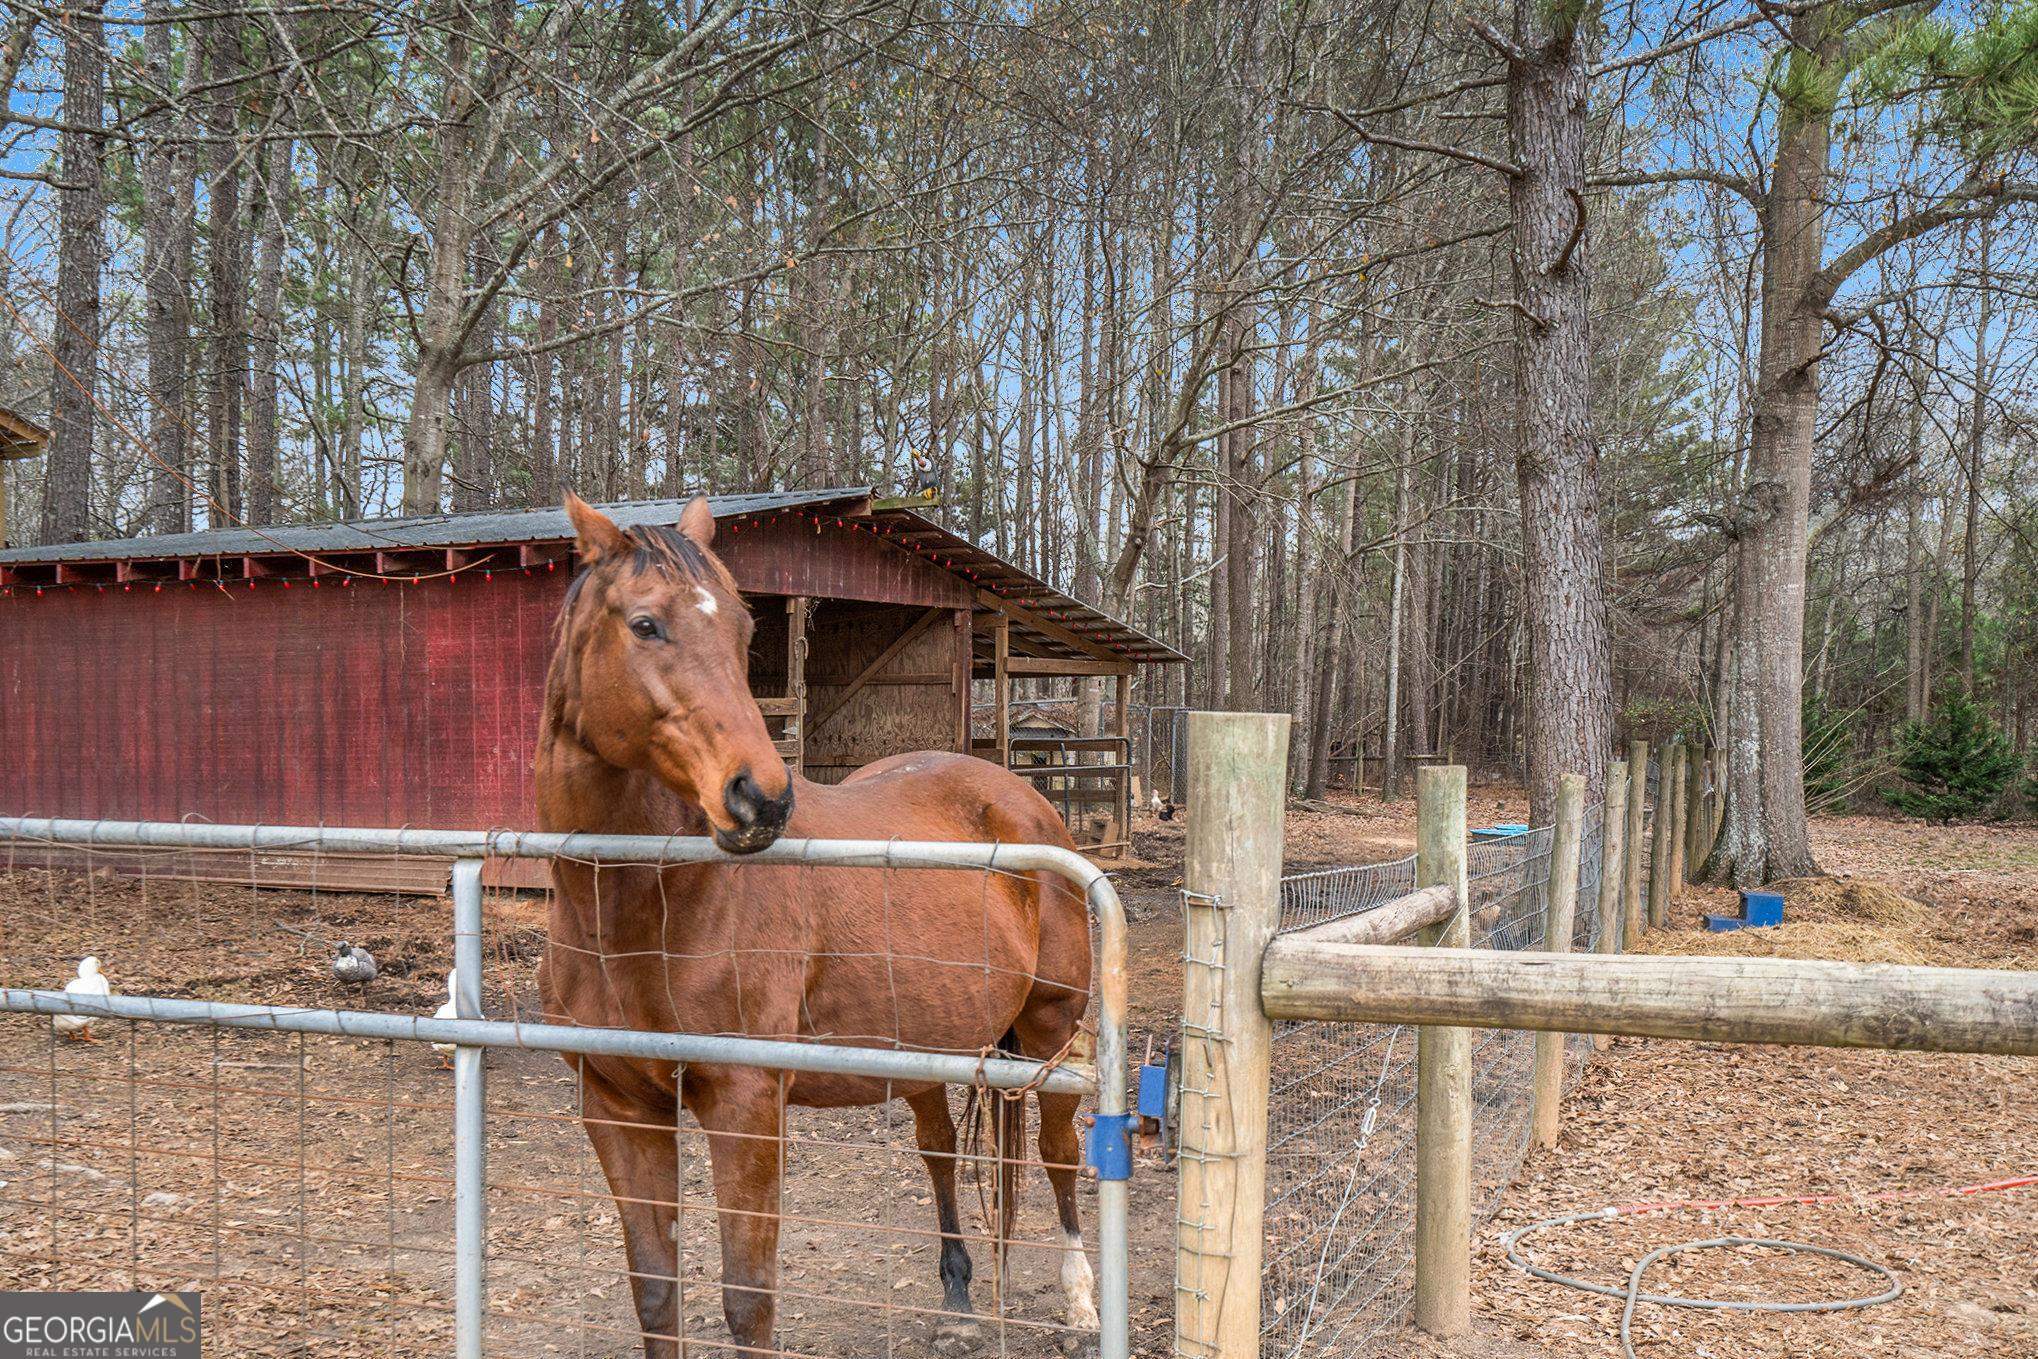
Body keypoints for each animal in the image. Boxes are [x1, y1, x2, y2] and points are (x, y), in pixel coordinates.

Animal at [529, 497, 1100, 1359]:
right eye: (645, 624)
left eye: (743, 628)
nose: (761, 798)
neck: (645, 907)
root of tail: (1024, 802)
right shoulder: (618, 1107)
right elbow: (657, 1294)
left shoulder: (746, 1106)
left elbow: (748, 1301)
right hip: (930, 1046)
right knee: (941, 1149)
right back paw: (962, 1297)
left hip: (1048, 1029)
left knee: (1060, 1155)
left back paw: (1080, 1301)